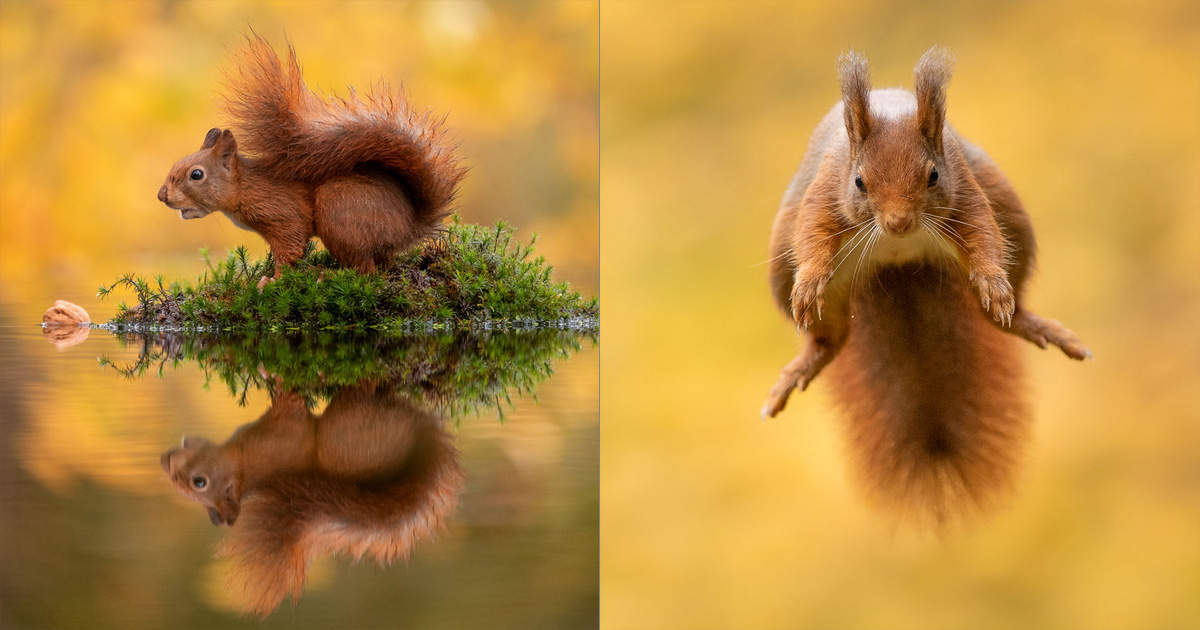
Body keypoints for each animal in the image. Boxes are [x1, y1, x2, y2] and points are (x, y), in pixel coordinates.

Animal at [156, 36, 463, 286]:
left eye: (196, 175)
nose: (162, 196)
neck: (246, 186)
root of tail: (410, 226)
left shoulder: (283, 214)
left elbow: (290, 248)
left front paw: (272, 281)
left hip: (339, 210)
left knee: (365, 271)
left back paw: (328, 274)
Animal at [763, 45, 1094, 525]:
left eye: (933, 176)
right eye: (859, 181)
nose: (899, 223)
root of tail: (900, 267)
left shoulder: (966, 189)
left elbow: (985, 236)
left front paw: (994, 283)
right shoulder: (824, 192)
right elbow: (811, 236)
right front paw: (808, 283)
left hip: (1013, 218)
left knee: (1001, 312)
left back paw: (1027, 320)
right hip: (779, 269)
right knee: (830, 340)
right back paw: (804, 364)